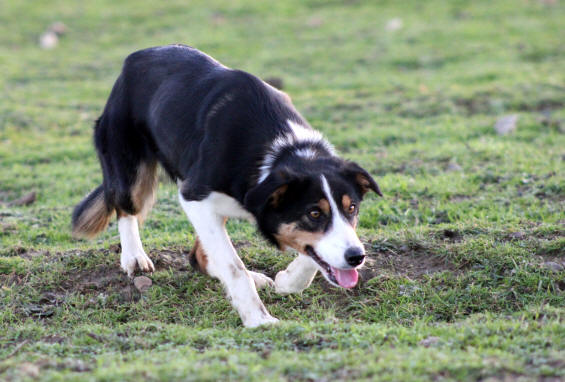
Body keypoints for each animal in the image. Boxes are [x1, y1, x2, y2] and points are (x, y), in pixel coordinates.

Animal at [72, 44, 382, 326]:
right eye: (314, 213)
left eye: (352, 209)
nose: (357, 257)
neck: (282, 151)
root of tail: (135, 58)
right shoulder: (194, 196)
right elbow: (234, 266)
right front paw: (259, 320)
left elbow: (314, 253)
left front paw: (288, 281)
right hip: (129, 165)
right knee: (126, 207)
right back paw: (134, 257)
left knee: (198, 256)